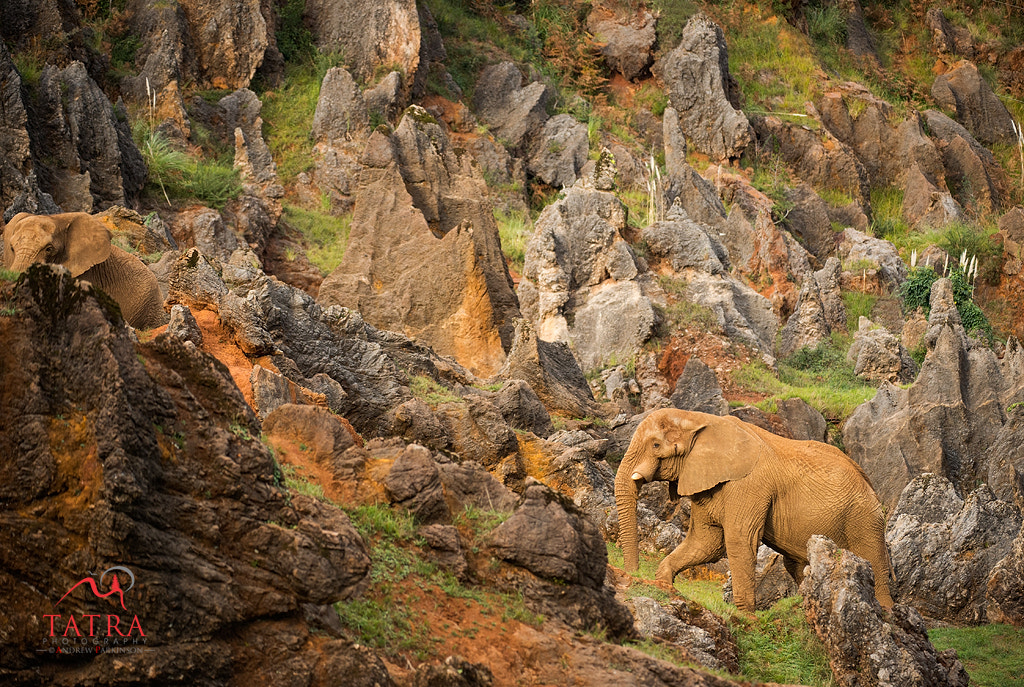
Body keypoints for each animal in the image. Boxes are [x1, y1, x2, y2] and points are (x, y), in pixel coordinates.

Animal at [610, 409, 892, 614]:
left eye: (656, 445)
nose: (633, 574)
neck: (699, 419)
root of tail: (870, 485)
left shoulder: (749, 486)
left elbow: (738, 541)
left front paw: (746, 615)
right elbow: (705, 542)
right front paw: (664, 583)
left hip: (863, 519)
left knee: (874, 563)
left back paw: (885, 613)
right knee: (795, 565)